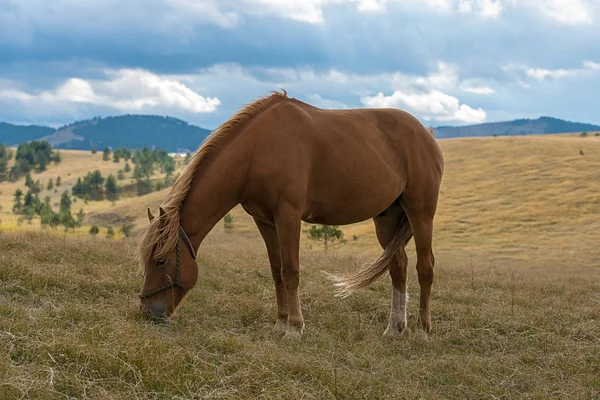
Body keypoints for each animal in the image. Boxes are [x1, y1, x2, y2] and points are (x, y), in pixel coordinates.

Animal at [138, 90, 442, 338]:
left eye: (161, 261)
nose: (148, 313)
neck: (257, 150)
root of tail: (427, 134)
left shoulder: (288, 215)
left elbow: (291, 270)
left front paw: (295, 327)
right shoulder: (264, 221)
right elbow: (277, 271)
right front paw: (281, 323)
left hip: (420, 214)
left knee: (425, 267)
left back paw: (421, 330)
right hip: (387, 218)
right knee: (398, 266)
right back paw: (394, 329)